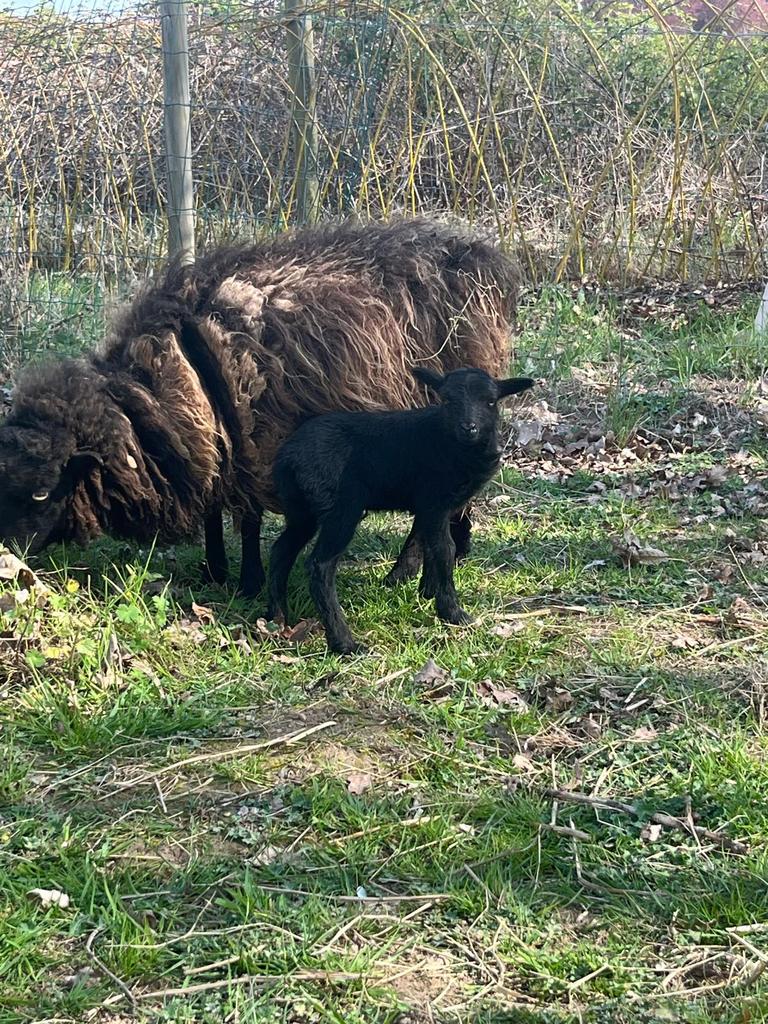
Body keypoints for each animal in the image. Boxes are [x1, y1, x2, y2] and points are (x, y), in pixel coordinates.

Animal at [0, 218, 519, 593]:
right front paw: (214, 570)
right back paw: (458, 545)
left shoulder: (252, 439)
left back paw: (403, 574)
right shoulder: (212, 439)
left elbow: (247, 520)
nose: (7, 558)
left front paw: (247, 582)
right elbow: (214, 509)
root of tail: (488, 261)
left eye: (43, 492)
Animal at [267, 366, 535, 654]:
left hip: (299, 508)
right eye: (447, 400)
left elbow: (427, 545)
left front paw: (427, 593)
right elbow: (445, 549)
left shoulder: (431, 506)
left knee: (281, 551)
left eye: (491, 401)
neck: (450, 443)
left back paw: (276, 618)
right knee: (320, 566)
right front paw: (452, 612)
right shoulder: (435, 500)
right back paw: (345, 643)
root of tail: (289, 456)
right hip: (341, 508)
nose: (468, 427)